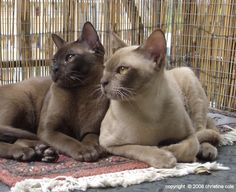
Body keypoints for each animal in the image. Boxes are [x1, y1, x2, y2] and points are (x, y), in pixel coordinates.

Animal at [37, 21, 109, 161]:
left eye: (70, 57)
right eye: (54, 60)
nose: (54, 69)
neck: (79, 91)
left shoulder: (93, 130)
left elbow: (90, 138)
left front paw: (95, 149)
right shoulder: (49, 131)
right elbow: (67, 140)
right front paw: (85, 151)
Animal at [99, 28, 219, 168]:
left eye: (122, 69)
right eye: (104, 68)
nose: (102, 82)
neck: (148, 107)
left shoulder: (189, 135)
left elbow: (191, 146)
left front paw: (168, 149)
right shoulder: (110, 144)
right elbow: (140, 148)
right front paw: (164, 157)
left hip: (189, 79)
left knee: (201, 129)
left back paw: (207, 150)